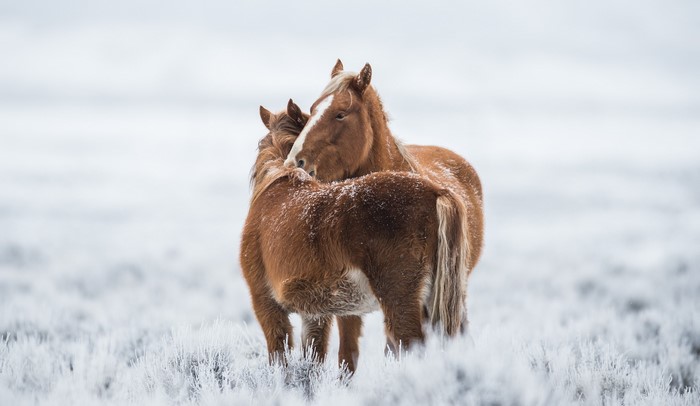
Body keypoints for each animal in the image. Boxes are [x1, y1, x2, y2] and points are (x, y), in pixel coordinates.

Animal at [240, 100, 471, 373]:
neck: (277, 183)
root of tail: (436, 191)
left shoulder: (266, 305)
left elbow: (280, 358)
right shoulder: (316, 314)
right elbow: (312, 360)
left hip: (401, 301)